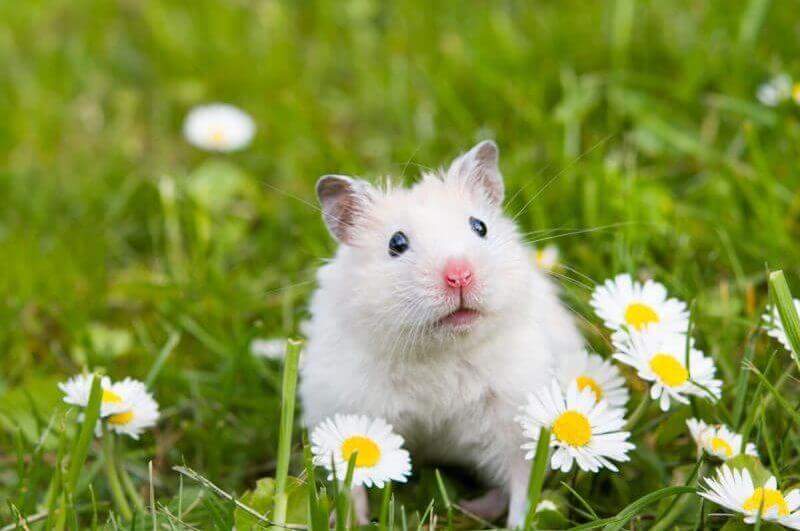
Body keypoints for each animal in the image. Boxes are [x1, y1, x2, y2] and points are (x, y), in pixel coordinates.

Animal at [299, 141, 584, 526]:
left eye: (479, 227)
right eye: (396, 243)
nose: (459, 276)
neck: (440, 351)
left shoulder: (515, 420)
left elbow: (523, 483)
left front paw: (518, 525)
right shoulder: (344, 409)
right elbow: (351, 478)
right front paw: (350, 522)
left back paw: (470, 508)